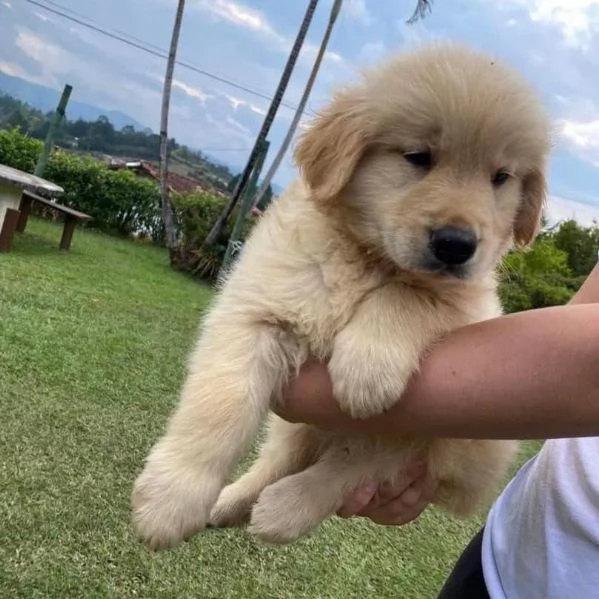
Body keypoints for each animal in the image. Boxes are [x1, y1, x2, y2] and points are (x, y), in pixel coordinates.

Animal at [131, 39, 552, 552]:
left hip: (450, 441)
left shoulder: (477, 309)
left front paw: (366, 367)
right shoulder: (255, 311)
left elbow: (410, 294)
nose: (457, 245)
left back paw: (285, 507)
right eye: (418, 156)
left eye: (501, 177)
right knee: (286, 458)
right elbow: (220, 404)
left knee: (361, 462)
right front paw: (172, 499)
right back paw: (232, 502)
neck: (368, 257)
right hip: (304, 427)